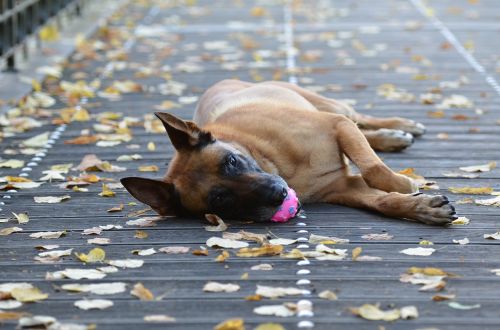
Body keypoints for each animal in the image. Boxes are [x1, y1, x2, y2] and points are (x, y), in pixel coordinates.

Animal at [121, 80, 458, 226]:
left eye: (231, 161)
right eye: (220, 199)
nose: (278, 194)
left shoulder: (336, 125)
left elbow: (374, 169)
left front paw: (402, 184)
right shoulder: (345, 188)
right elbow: (383, 202)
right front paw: (422, 208)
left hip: (333, 108)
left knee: (359, 118)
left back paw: (398, 127)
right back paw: (392, 137)